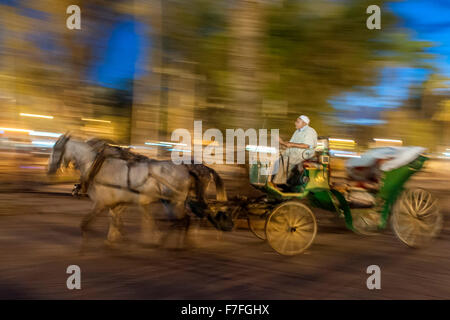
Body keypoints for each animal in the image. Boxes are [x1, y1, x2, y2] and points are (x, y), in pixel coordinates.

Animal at [48, 134, 234, 246]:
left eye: (56, 149)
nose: (49, 170)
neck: (99, 166)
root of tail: (189, 170)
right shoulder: (120, 202)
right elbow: (117, 219)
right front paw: (115, 238)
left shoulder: (103, 202)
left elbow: (87, 223)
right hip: (172, 201)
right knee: (184, 220)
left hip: (176, 201)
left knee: (186, 219)